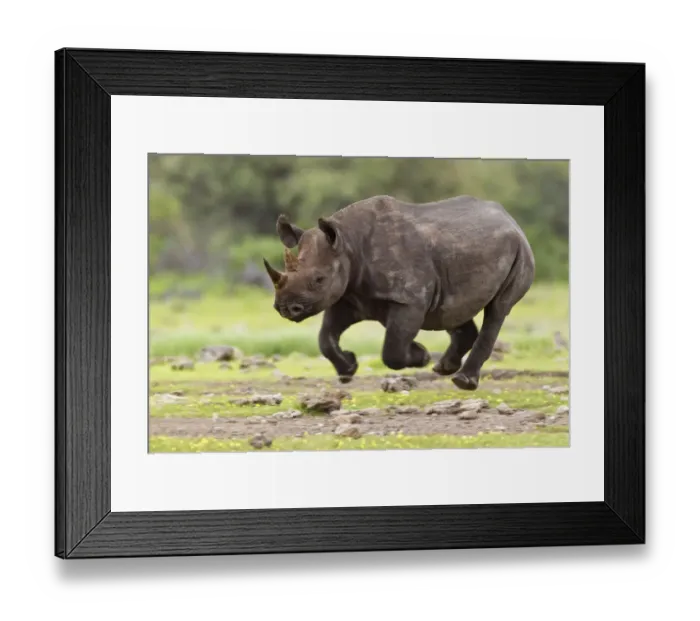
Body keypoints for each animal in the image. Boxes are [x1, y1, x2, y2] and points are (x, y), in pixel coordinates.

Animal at [262, 194, 535, 390]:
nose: (286, 308)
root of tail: (510, 219)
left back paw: (462, 381)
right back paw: (443, 368)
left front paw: (420, 355)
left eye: (318, 280)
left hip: (520, 251)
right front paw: (348, 369)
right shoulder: (349, 296)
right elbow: (325, 337)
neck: (348, 243)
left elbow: (392, 351)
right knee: (451, 309)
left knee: (498, 309)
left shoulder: (409, 300)